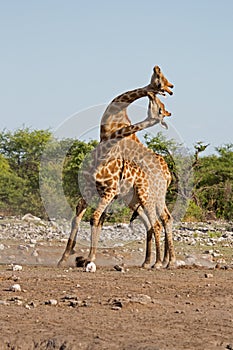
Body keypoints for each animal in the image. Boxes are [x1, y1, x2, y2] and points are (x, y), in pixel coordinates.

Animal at [57, 65, 175, 268]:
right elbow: (82, 218)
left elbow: (95, 218)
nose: (169, 88)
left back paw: (164, 262)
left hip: (150, 195)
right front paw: (67, 257)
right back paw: (153, 261)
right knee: (152, 222)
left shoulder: (109, 192)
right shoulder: (90, 190)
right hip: (134, 199)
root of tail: (168, 175)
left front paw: (88, 258)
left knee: (161, 220)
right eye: (160, 80)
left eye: (160, 107)